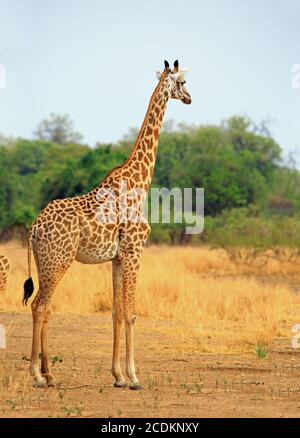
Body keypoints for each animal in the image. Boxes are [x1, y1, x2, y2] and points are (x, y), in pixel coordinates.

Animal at [23, 60, 192, 388]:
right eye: (182, 81)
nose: (190, 98)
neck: (140, 181)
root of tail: (34, 228)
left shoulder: (116, 258)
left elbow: (115, 312)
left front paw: (118, 376)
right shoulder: (135, 251)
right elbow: (131, 313)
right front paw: (134, 377)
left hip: (44, 261)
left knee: (44, 307)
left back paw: (49, 374)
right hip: (58, 260)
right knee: (40, 306)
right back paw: (38, 375)